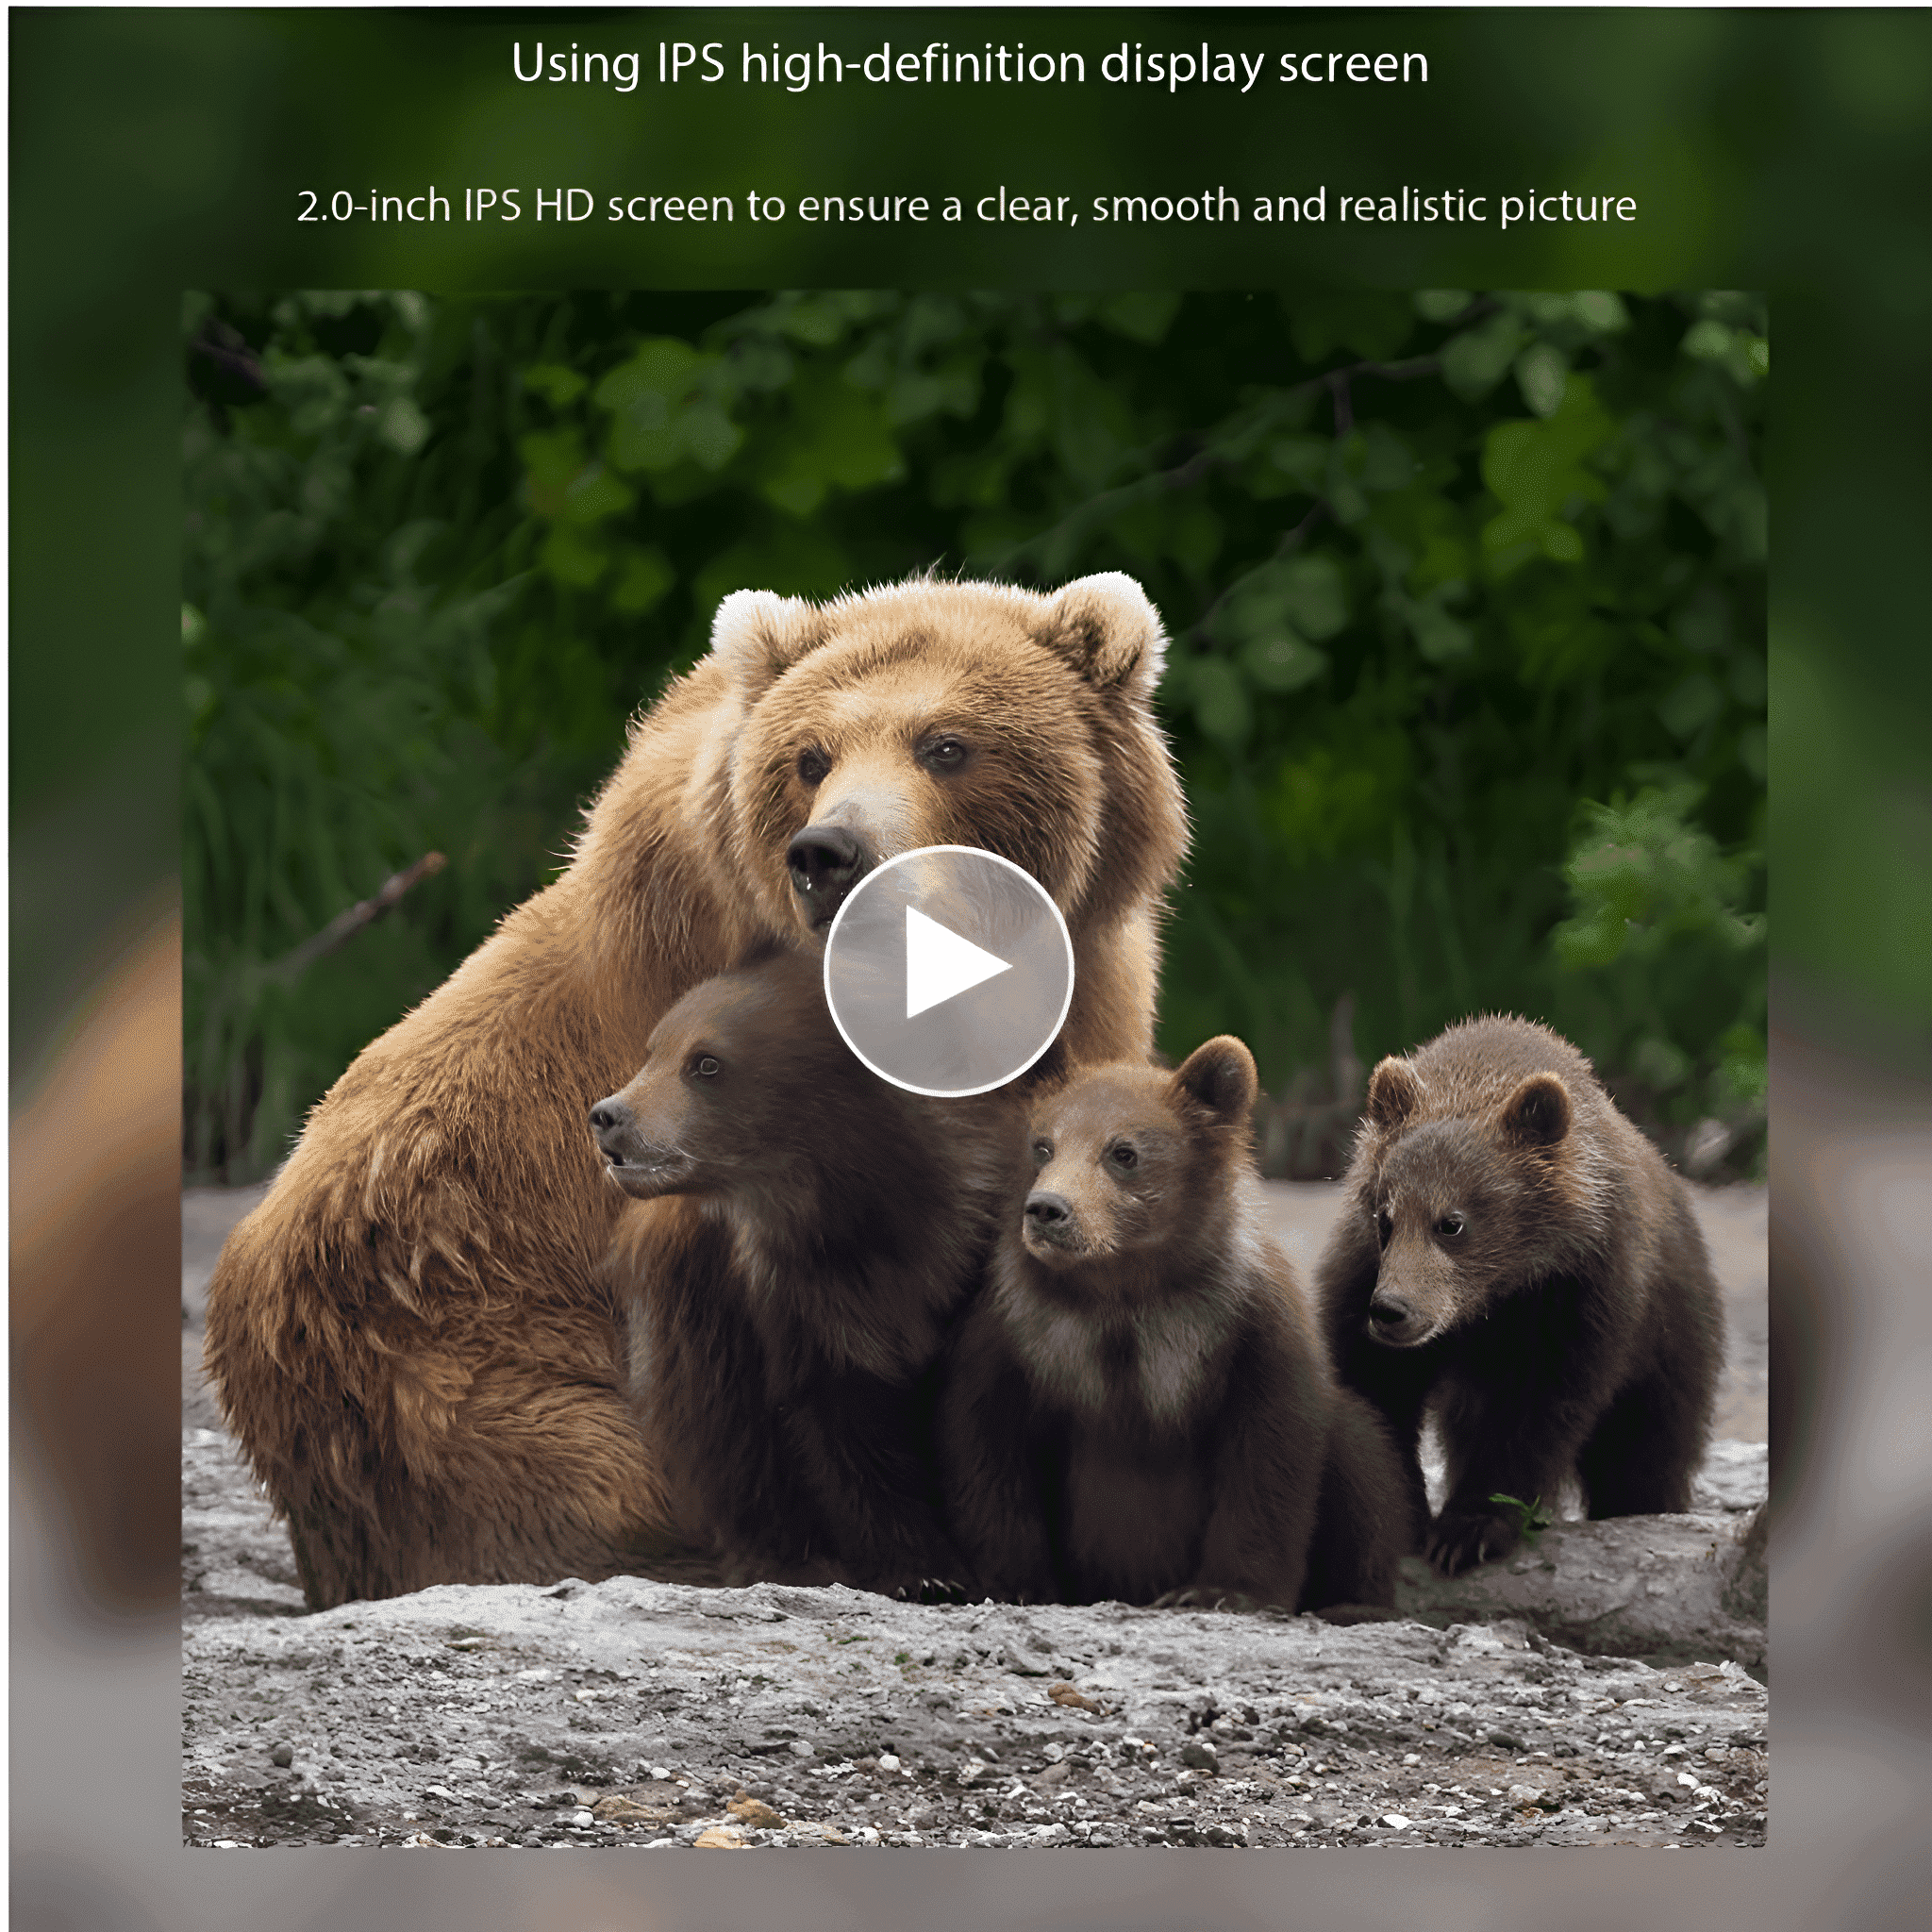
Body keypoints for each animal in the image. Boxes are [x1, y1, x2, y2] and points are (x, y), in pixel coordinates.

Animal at [590, 947, 1026, 1597]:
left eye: (706, 1062)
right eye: (652, 1050)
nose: (608, 1114)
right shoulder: (798, 1300)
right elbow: (842, 1436)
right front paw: (922, 1572)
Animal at [938, 1039, 1417, 1612]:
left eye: (1123, 1152)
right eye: (1043, 1145)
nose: (1048, 1209)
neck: (1122, 1290)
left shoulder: (1246, 1326)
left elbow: (1270, 1455)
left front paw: (1223, 1589)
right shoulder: (1020, 1331)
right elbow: (989, 1447)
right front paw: (1014, 1583)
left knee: (1362, 1454)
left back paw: (1355, 1600)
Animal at [1313, 1014, 1726, 1577]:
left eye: (1452, 1223)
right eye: (1385, 1218)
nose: (1392, 1312)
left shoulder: (1579, 1296)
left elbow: (1538, 1414)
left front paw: (1468, 1530)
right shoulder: (1362, 1276)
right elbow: (1376, 1390)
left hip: (1670, 1346)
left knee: (1646, 1450)